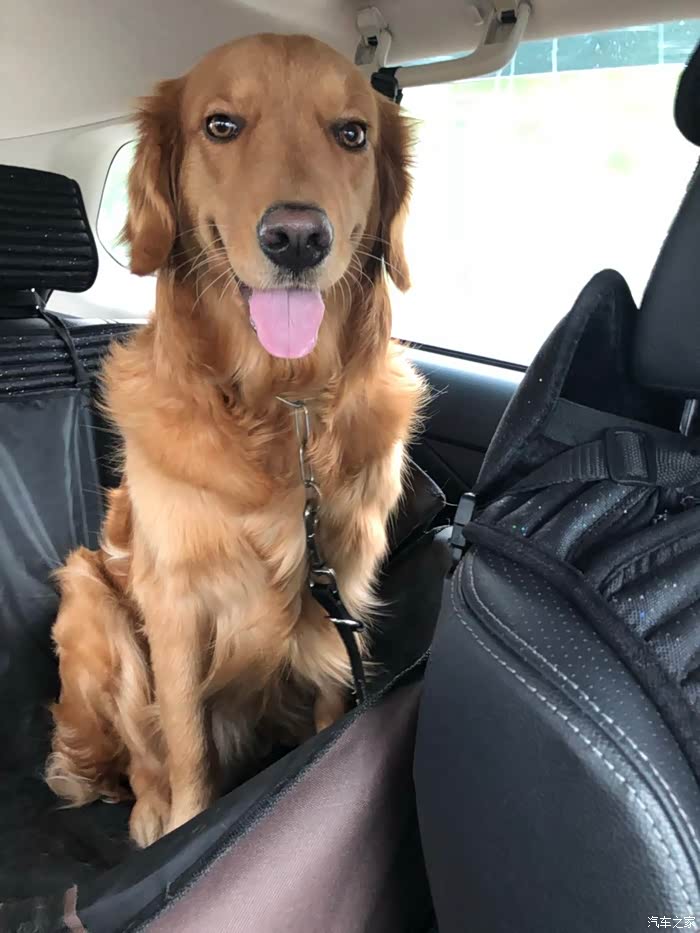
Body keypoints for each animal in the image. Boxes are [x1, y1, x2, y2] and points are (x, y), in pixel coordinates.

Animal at [46, 33, 426, 848]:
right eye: (220, 126)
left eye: (352, 133)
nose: (297, 238)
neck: (286, 407)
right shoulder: (174, 603)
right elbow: (186, 744)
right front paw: (186, 819)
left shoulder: (339, 593)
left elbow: (329, 700)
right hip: (91, 594)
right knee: (135, 753)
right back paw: (145, 808)